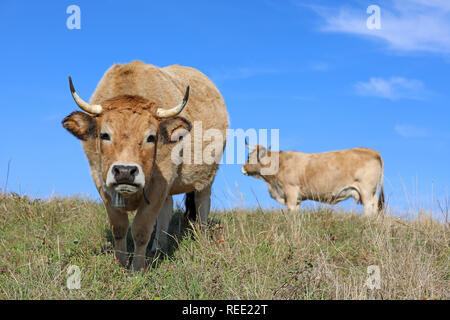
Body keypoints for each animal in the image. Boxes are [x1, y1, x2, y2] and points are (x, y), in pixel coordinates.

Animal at [62, 60, 229, 270]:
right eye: (105, 135)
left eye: (151, 137)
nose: (125, 171)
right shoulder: (101, 181)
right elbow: (119, 227)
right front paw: (120, 263)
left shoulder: (160, 181)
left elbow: (141, 229)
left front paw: (137, 268)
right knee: (167, 209)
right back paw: (158, 247)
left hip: (206, 178)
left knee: (202, 205)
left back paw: (202, 240)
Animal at [241, 143, 384, 216]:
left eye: (248, 156)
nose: (242, 168)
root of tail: (372, 151)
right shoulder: (297, 198)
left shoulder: (291, 191)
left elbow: (291, 210)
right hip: (372, 192)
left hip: (366, 190)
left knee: (369, 207)